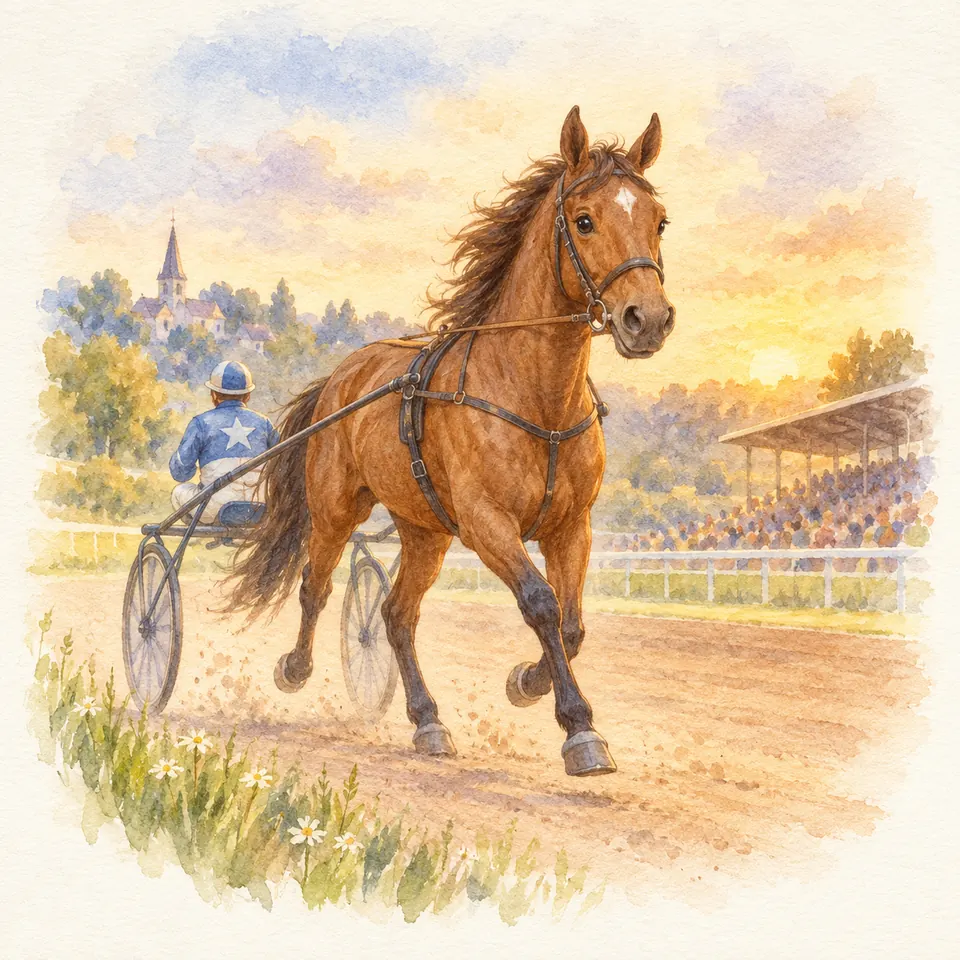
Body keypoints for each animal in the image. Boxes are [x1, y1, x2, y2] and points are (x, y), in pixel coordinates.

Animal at [228, 106, 675, 776]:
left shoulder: (572, 524)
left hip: (425, 529)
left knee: (396, 614)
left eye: (659, 221)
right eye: (584, 220)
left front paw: (528, 681)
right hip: (336, 507)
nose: (646, 320)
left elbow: (571, 624)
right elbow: (541, 603)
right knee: (316, 585)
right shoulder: (486, 522)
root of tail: (341, 376)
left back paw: (428, 720)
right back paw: (295, 668)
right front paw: (579, 728)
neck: (534, 398)